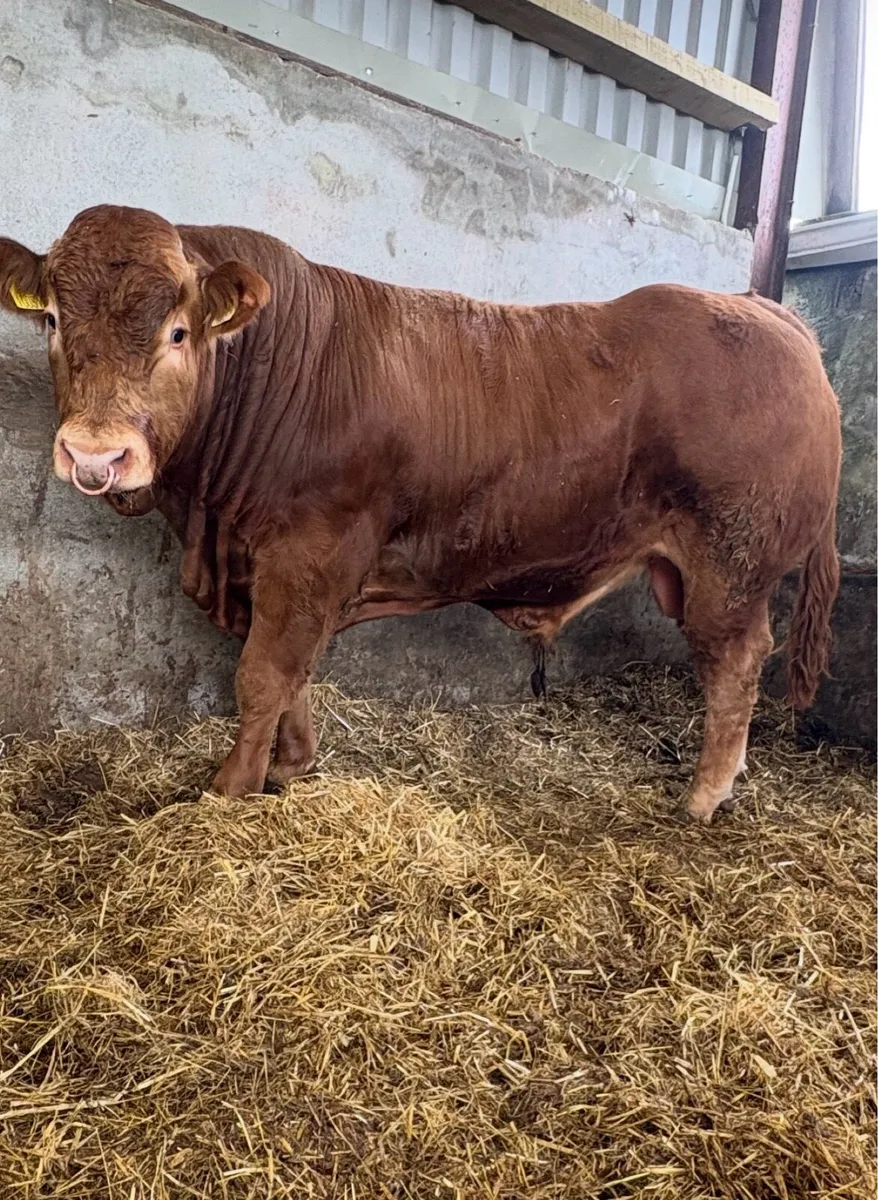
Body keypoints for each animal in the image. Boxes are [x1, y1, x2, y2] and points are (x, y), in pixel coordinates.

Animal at [0, 205, 842, 822]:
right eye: (53, 323)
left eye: (178, 332)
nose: (96, 454)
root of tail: (770, 313)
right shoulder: (271, 567)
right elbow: (295, 671)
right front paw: (292, 766)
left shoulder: (309, 554)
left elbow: (264, 674)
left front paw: (231, 789)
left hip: (731, 566)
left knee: (734, 665)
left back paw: (702, 798)